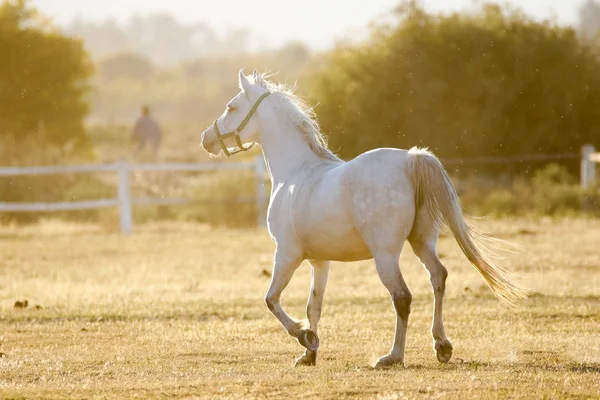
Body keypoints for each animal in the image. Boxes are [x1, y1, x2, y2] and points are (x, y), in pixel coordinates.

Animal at [200, 69, 524, 368]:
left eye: (231, 107)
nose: (206, 139)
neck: (297, 173)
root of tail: (410, 159)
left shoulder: (287, 254)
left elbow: (271, 300)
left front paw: (304, 336)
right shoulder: (319, 261)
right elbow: (313, 306)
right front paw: (309, 354)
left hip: (385, 254)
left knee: (402, 297)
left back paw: (392, 356)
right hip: (421, 242)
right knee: (438, 277)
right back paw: (441, 345)